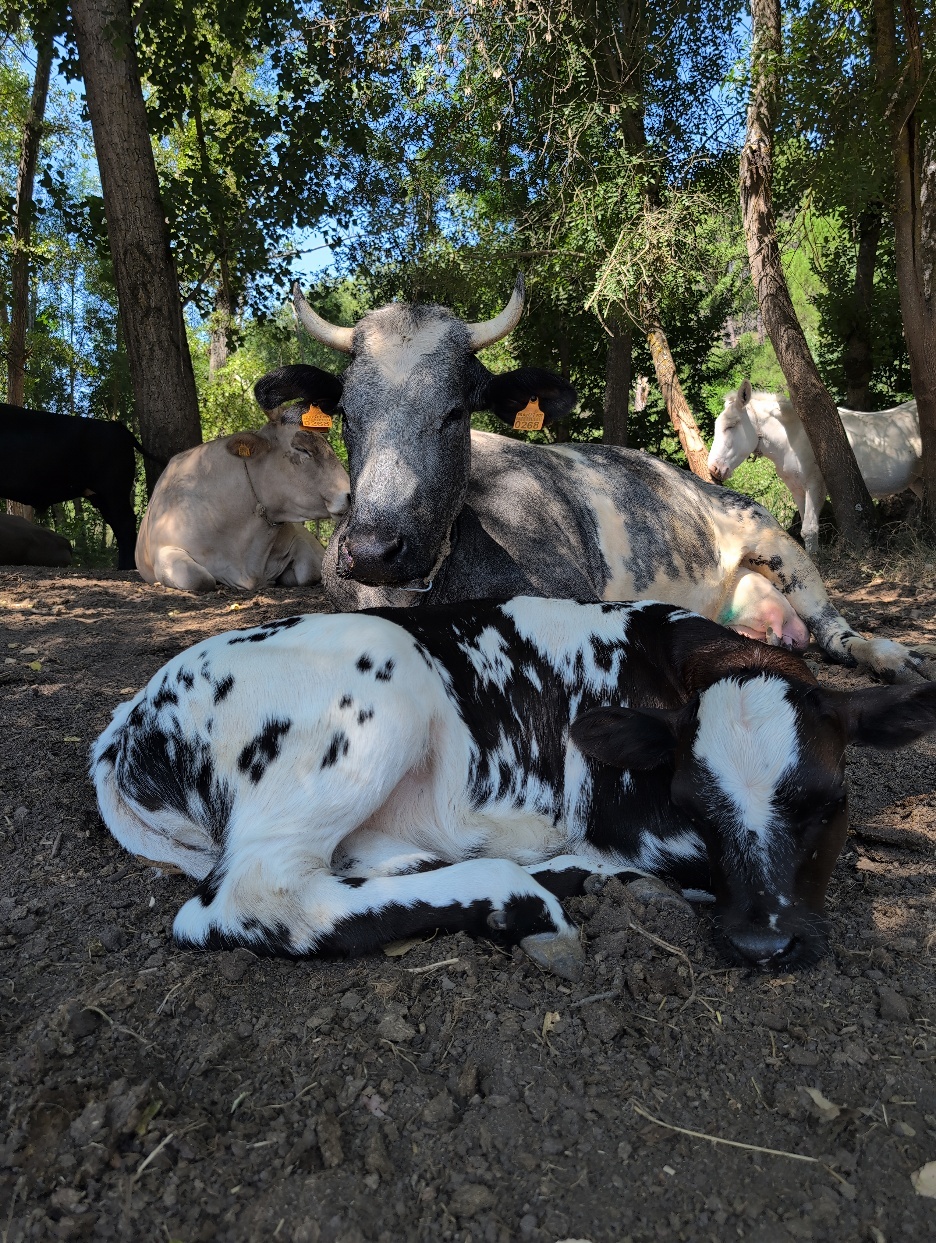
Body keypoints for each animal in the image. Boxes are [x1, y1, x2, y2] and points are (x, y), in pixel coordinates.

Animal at [92, 597, 936, 976]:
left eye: (828, 799)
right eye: (693, 800)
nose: (763, 941)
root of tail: (130, 717)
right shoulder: (632, 816)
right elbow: (682, 863)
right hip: (376, 686)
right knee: (253, 899)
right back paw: (520, 895)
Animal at [135, 403, 351, 593]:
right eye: (302, 449)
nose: (350, 494)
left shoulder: (300, 540)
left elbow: (310, 571)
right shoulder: (165, 552)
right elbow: (198, 578)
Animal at [708, 381, 923, 556]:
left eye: (731, 426)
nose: (713, 469)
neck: (791, 440)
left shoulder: (815, 486)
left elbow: (809, 528)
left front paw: (816, 562)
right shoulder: (796, 490)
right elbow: (804, 526)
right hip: (917, 480)